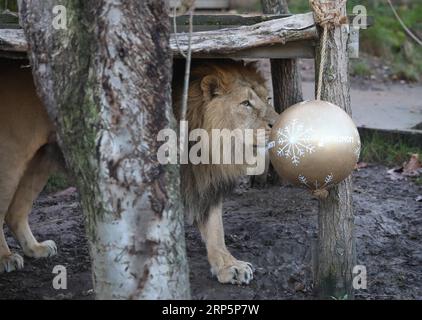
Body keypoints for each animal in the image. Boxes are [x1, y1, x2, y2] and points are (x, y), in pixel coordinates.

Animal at [0, 58, 276, 284]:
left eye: (268, 99)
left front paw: (229, 267)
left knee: (15, 212)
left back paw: (35, 248)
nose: (276, 122)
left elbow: (215, 228)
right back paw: (6, 258)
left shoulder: (201, 179)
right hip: (11, 159)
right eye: (246, 103)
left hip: (41, 160)